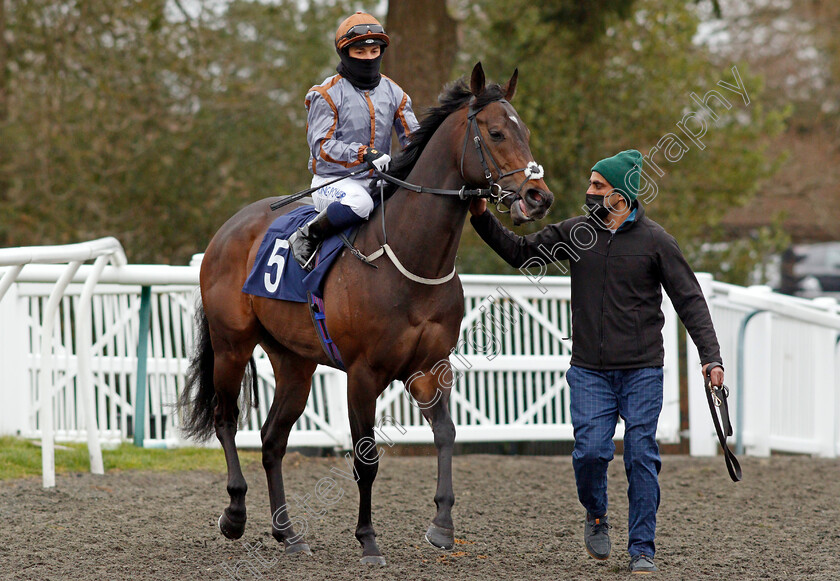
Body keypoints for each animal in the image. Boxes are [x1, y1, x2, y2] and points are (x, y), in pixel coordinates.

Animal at [179, 62, 552, 560]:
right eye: (495, 132)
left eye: (524, 130)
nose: (538, 197)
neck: (411, 260)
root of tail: (228, 230)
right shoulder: (363, 373)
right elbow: (366, 456)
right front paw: (368, 538)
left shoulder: (430, 368)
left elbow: (446, 434)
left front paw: (442, 526)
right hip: (232, 345)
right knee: (225, 420)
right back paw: (236, 515)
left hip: (294, 361)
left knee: (273, 439)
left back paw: (288, 533)